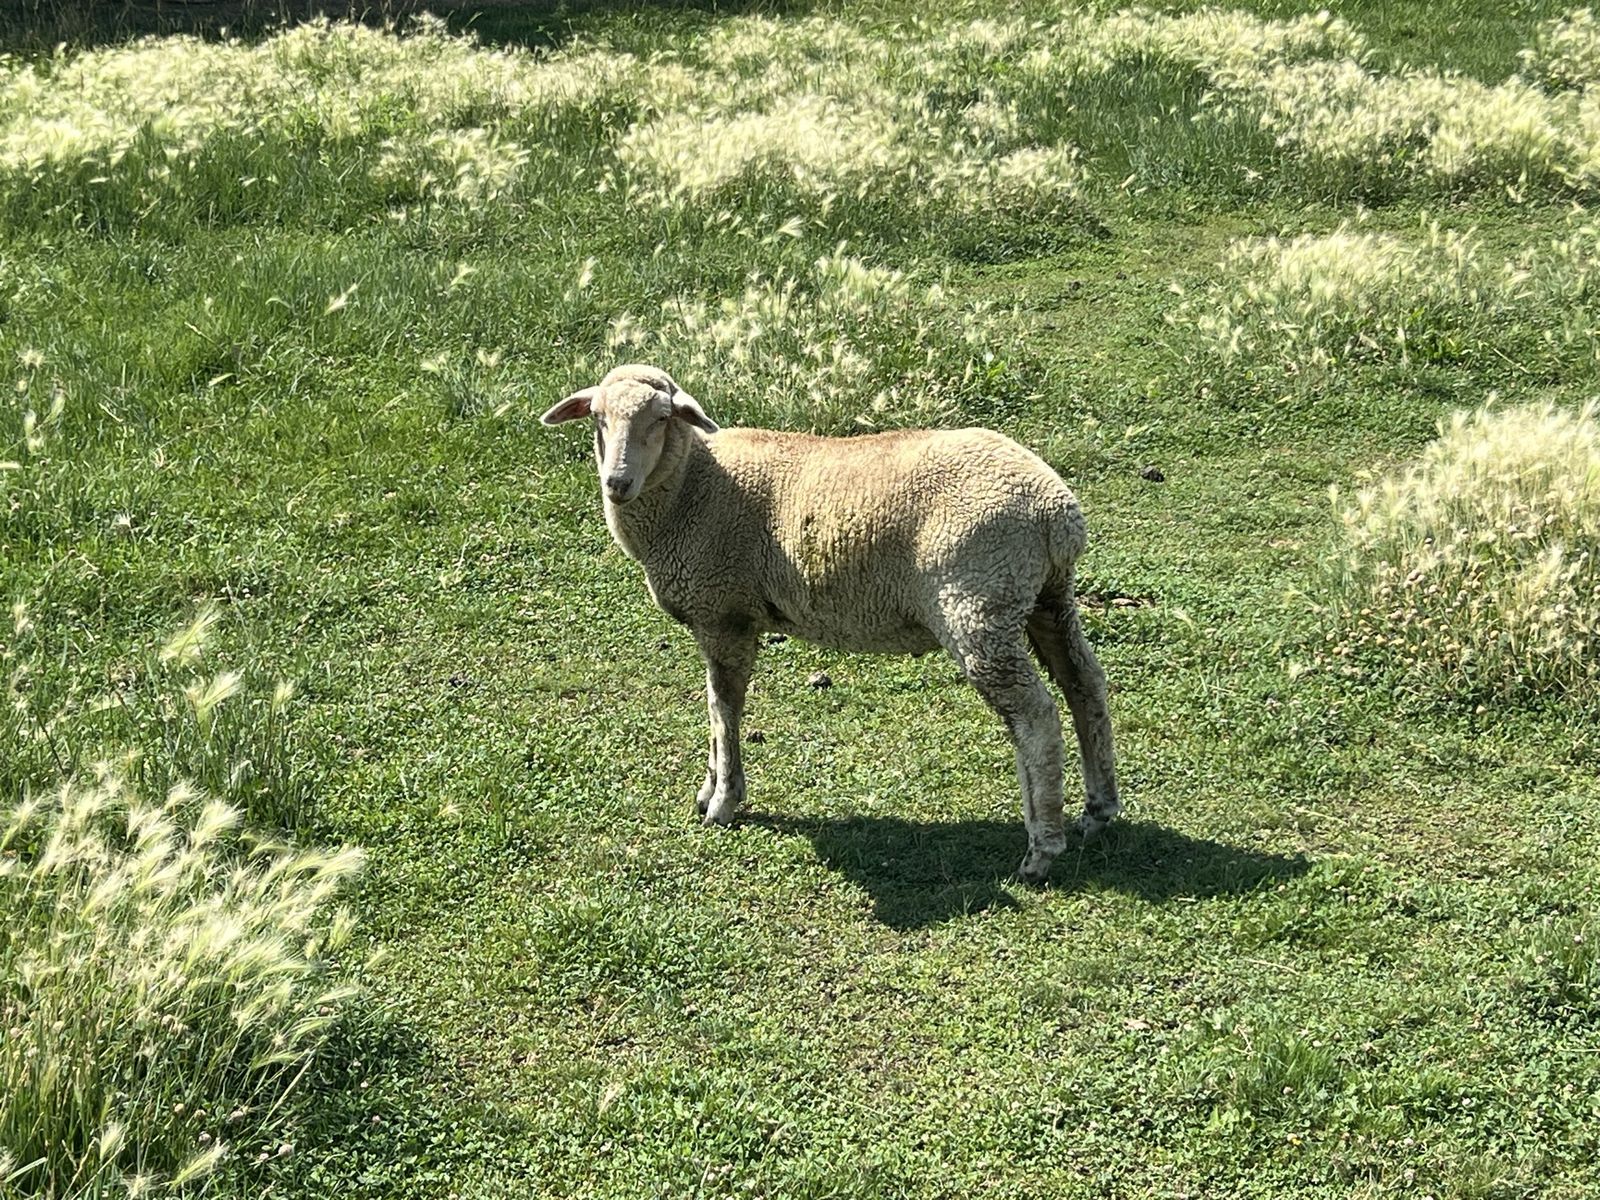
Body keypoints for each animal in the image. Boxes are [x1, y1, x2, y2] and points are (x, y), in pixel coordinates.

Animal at [541, 363, 1119, 884]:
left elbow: (725, 711)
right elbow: (713, 708)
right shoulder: (717, 618)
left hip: (978, 605)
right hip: (1044, 598)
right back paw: (1098, 810)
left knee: (1035, 716)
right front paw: (710, 787)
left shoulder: (726, 614)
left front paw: (725, 800)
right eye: (598, 417)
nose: (617, 483)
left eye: (661, 418)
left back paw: (1041, 849)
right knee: (1084, 685)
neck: (692, 485)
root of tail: (1057, 510)